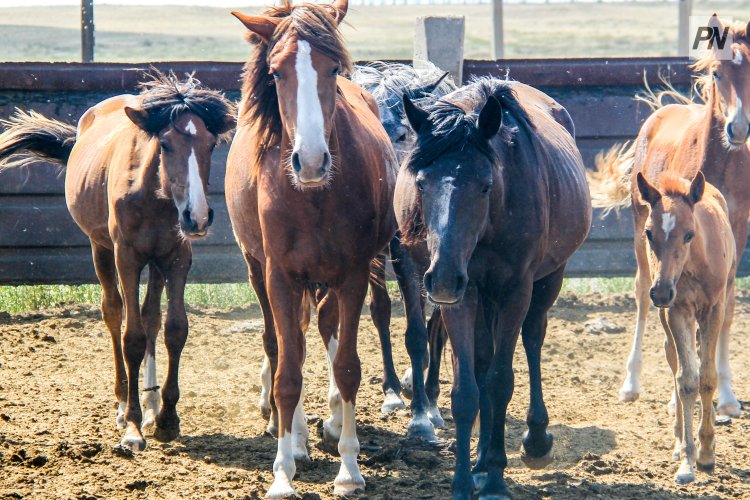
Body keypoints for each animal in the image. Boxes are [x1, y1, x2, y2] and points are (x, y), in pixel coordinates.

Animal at [0, 72, 236, 452]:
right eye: (165, 144)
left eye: (211, 144)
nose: (197, 217)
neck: (153, 192)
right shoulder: (126, 257)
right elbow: (131, 337)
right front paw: (133, 427)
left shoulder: (176, 257)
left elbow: (174, 329)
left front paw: (167, 417)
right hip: (101, 249)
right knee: (113, 313)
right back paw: (124, 404)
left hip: (155, 262)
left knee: (151, 316)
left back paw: (151, 404)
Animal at [226, 1, 428, 498]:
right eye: (276, 73)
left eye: (333, 68)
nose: (313, 161)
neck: (312, 196)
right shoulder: (280, 276)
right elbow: (288, 372)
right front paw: (282, 473)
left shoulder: (351, 274)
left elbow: (347, 366)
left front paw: (349, 469)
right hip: (259, 271)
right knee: (284, 343)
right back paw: (294, 437)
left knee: (324, 331)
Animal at [400, 80, 592, 498]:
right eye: (421, 182)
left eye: (485, 185)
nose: (441, 278)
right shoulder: (463, 293)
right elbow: (468, 390)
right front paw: (465, 480)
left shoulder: (515, 291)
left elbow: (501, 381)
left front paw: (495, 479)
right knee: (483, 362)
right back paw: (481, 461)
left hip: (547, 280)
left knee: (533, 339)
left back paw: (534, 440)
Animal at [592, 13, 748, 416]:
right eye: (717, 73)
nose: (738, 128)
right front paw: (675, 399)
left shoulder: (737, 232)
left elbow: (726, 307)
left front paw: (727, 395)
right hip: (637, 228)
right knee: (642, 293)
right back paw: (632, 383)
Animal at [636, 171, 736, 484]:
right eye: (649, 233)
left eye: (689, 234)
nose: (660, 292)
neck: (695, 263)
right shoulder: (678, 311)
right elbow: (687, 380)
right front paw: (688, 459)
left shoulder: (713, 310)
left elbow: (708, 378)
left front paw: (707, 452)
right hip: (669, 317)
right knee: (674, 361)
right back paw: (679, 442)